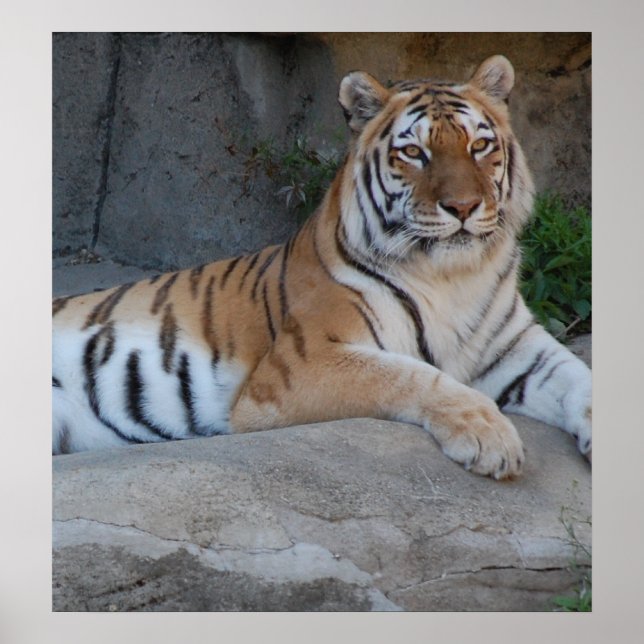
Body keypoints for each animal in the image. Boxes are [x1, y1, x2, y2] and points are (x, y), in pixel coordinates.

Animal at [52, 55, 592, 479]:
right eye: (414, 152)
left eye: (479, 146)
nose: (462, 206)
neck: (454, 277)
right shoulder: (303, 363)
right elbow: (413, 376)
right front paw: (490, 438)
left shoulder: (517, 348)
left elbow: (579, 376)